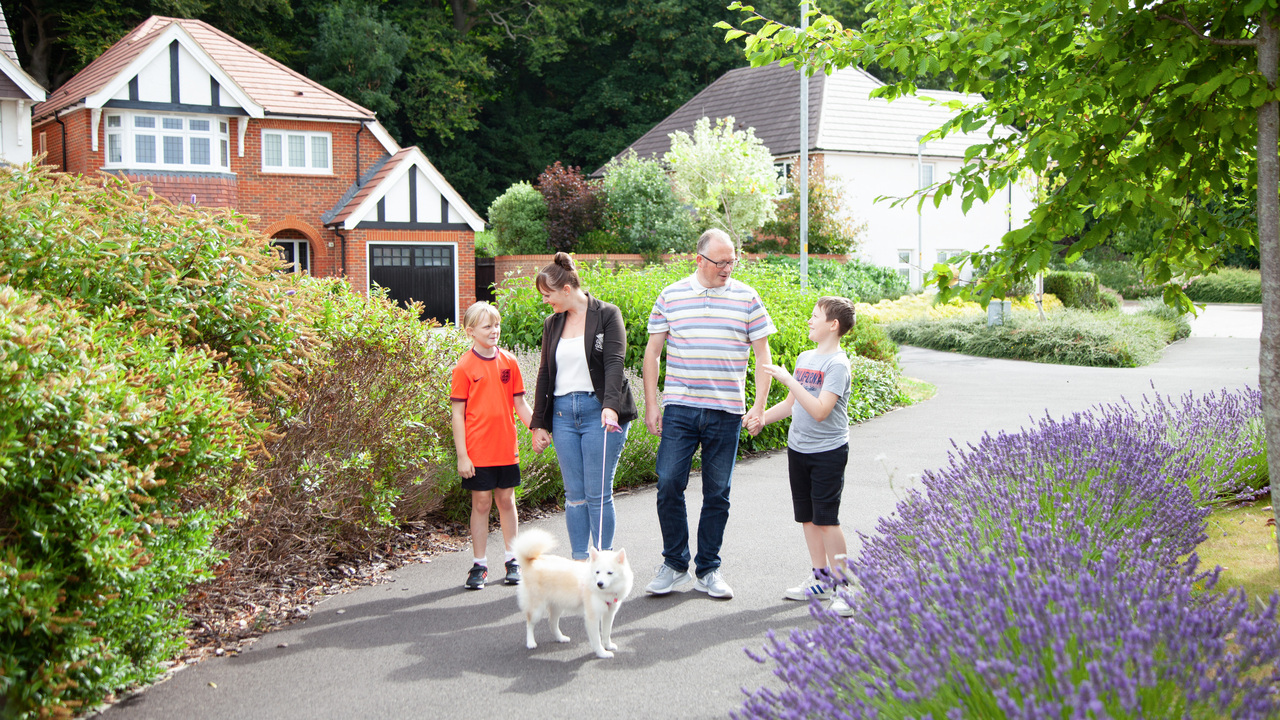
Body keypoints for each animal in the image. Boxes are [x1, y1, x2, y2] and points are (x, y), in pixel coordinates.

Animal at [509, 527, 629, 655]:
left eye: (609, 573)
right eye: (597, 572)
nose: (599, 584)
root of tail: (531, 562)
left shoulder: (609, 614)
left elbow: (606, 633)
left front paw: (608, 645)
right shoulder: (592, 617)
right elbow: (597, 639)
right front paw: (602, 653)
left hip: (557, 606)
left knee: (552, 623)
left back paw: (561, 638)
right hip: (537, 609)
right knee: (529, 624)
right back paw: (531, 642)